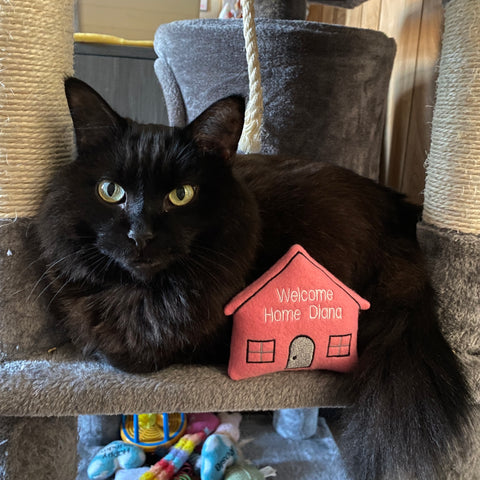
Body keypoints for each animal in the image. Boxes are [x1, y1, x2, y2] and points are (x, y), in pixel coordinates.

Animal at [34, 79, 472, 480]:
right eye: (111, 191)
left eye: (181, 195)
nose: (140, 235)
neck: (145, 295)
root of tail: (397, 211)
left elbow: (130, 352)